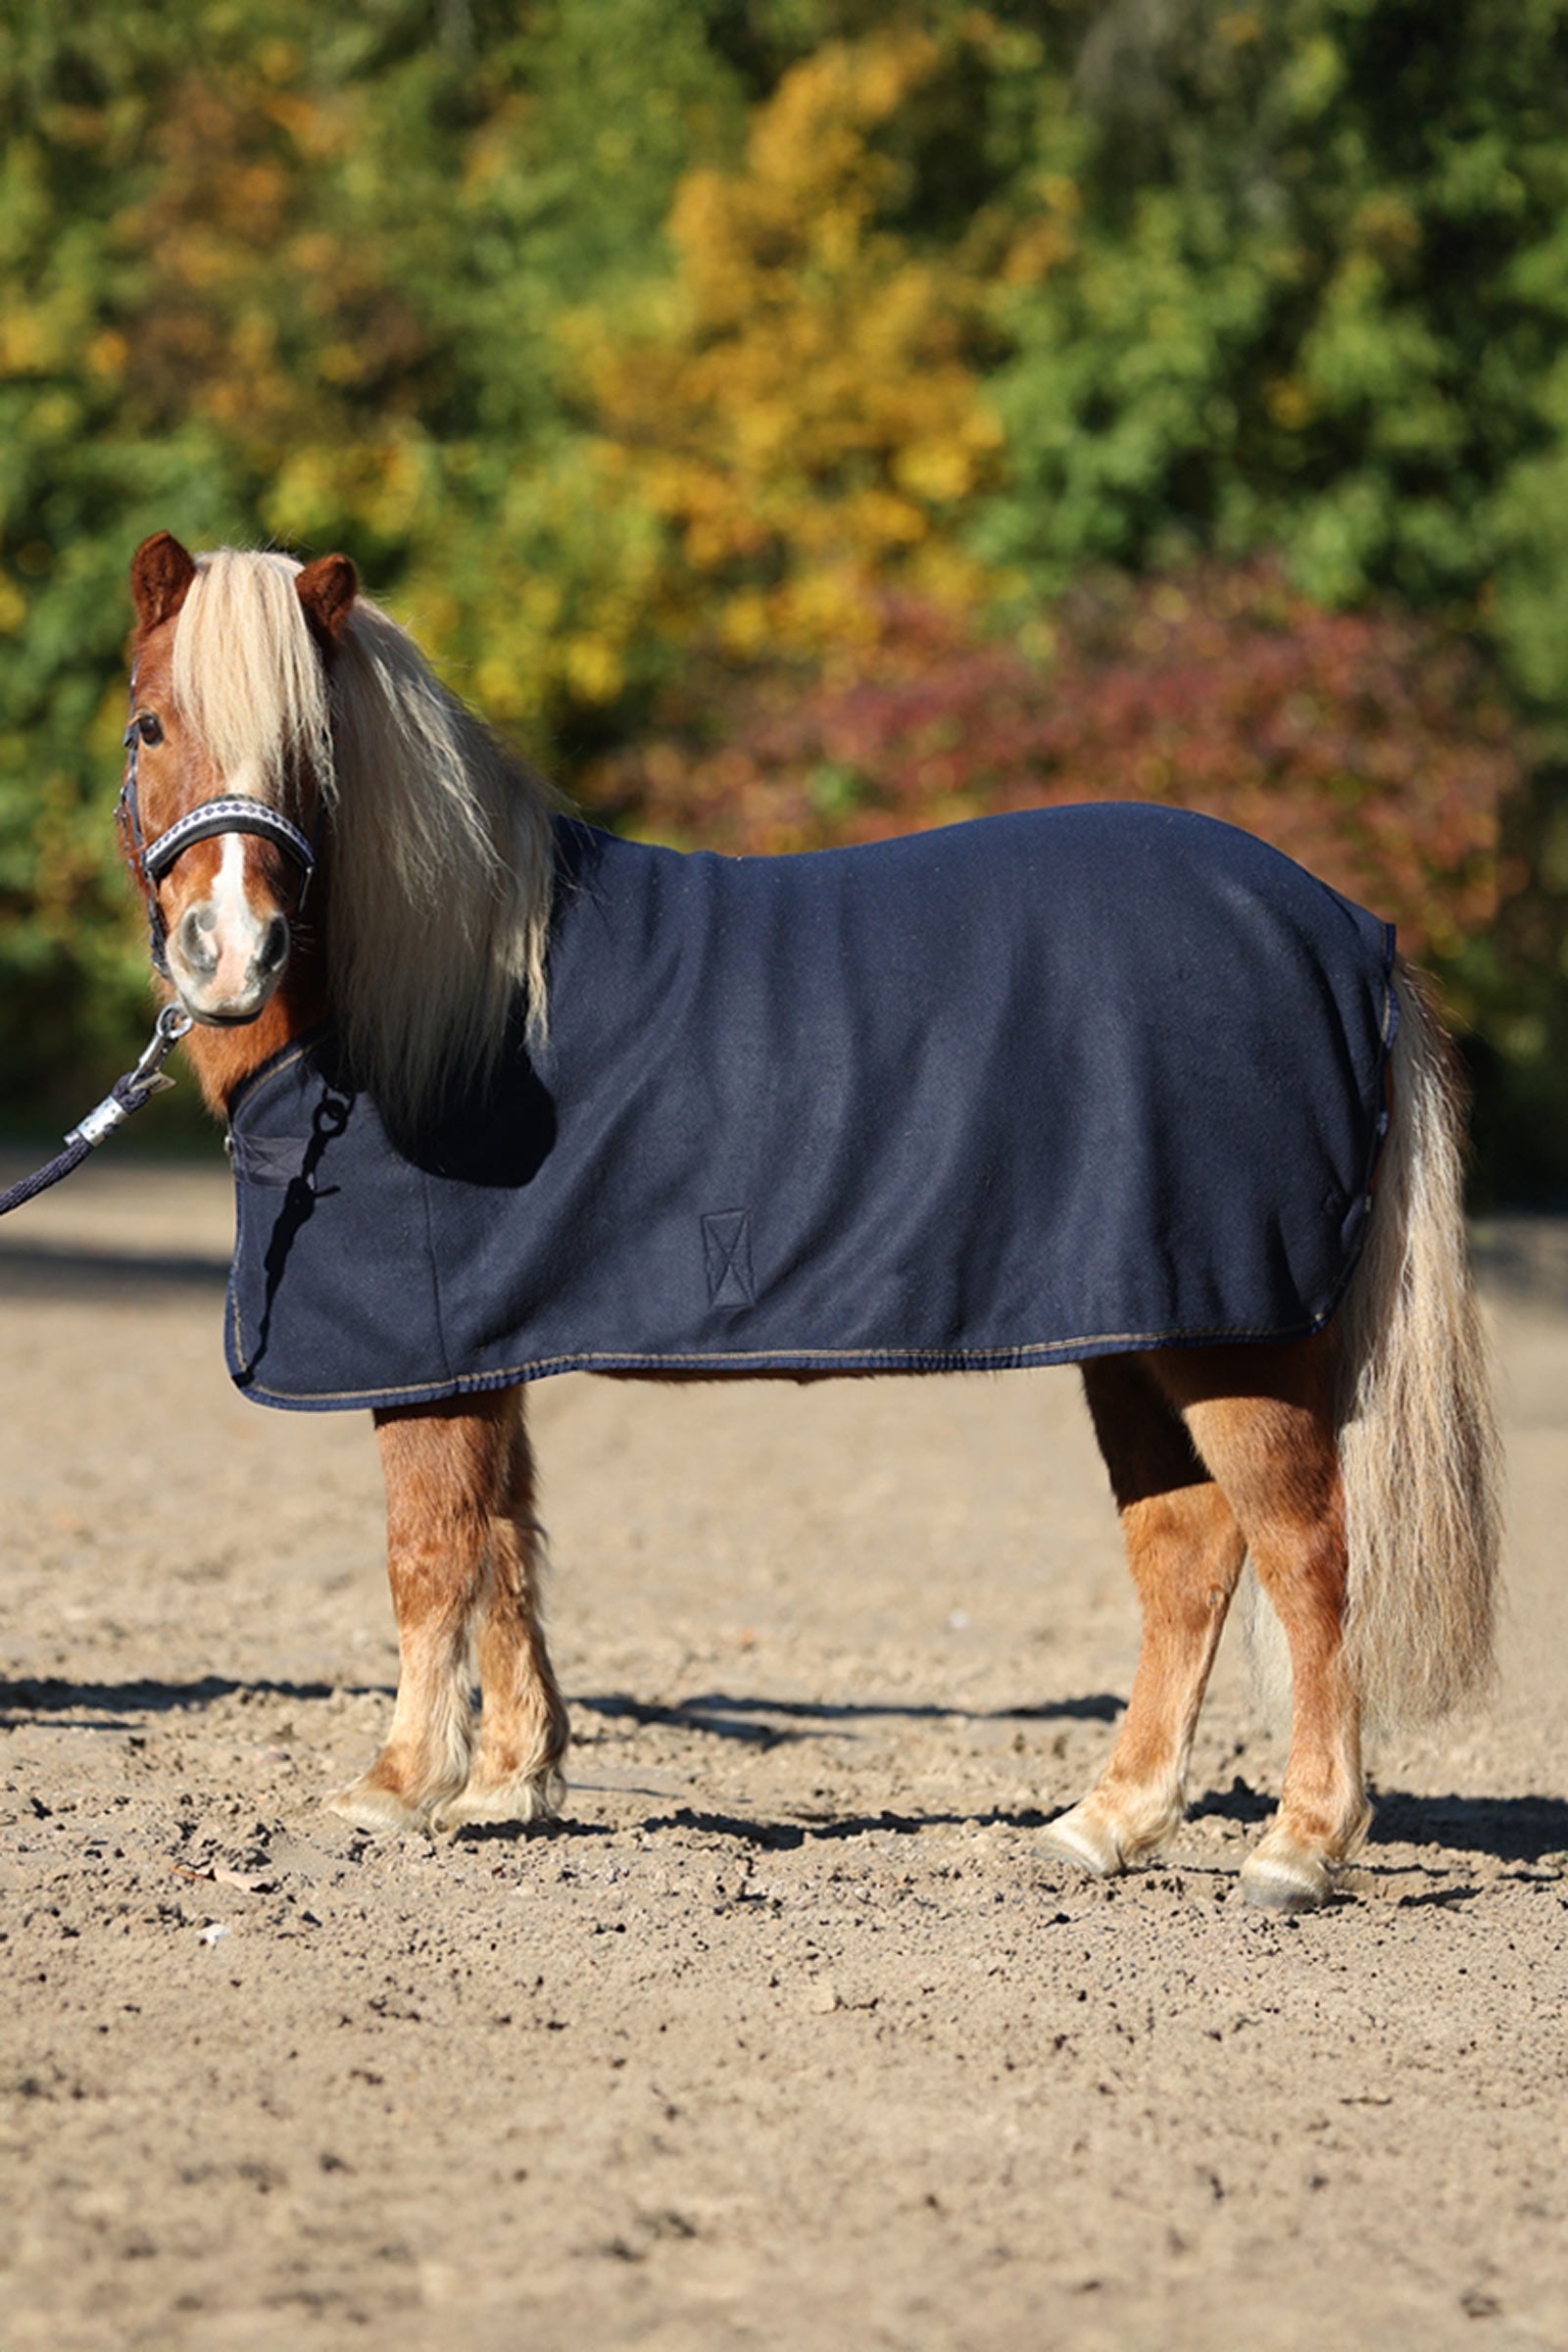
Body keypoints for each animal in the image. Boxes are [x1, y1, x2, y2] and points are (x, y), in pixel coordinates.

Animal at [114, 529, 1501, 1913]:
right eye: (149, 725)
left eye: (314, 754)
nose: (230, 953)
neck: (449, 1007)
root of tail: (1351, 935)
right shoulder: (483, 1350)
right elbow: (504, 1548)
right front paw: (510, 1783)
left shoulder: (428, 1361)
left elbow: (429, 1553)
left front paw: (398, 1787)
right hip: (1142, 1331)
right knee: (1187, 1557)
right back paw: (1104, 1823)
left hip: (1234, 1338)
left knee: (1306, 1557)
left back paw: (1299, 1844)